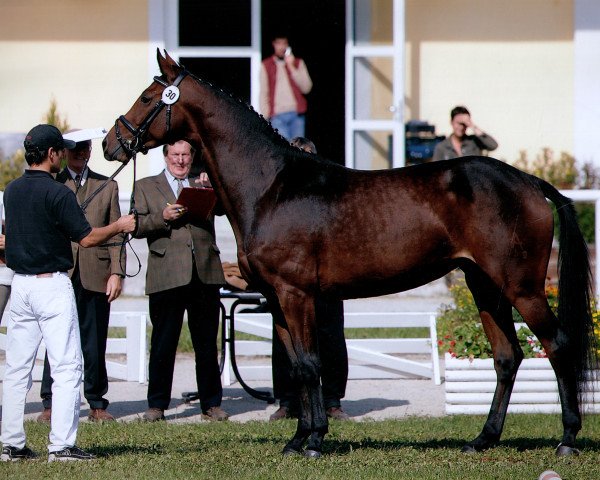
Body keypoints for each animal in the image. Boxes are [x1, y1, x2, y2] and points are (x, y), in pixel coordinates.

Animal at [103, 51, 596, 458]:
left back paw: (567, 439)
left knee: (557, 345)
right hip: (483, 283)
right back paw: (483, 439)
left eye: (148, 97)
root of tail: (528, 181)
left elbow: (309, 364)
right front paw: (298, 438)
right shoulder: (278, 300)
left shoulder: (296, 294)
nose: (111, 143)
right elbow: (298, 367)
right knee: (507, 356)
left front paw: (314, 441)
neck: (271, 186)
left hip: (522, 286)